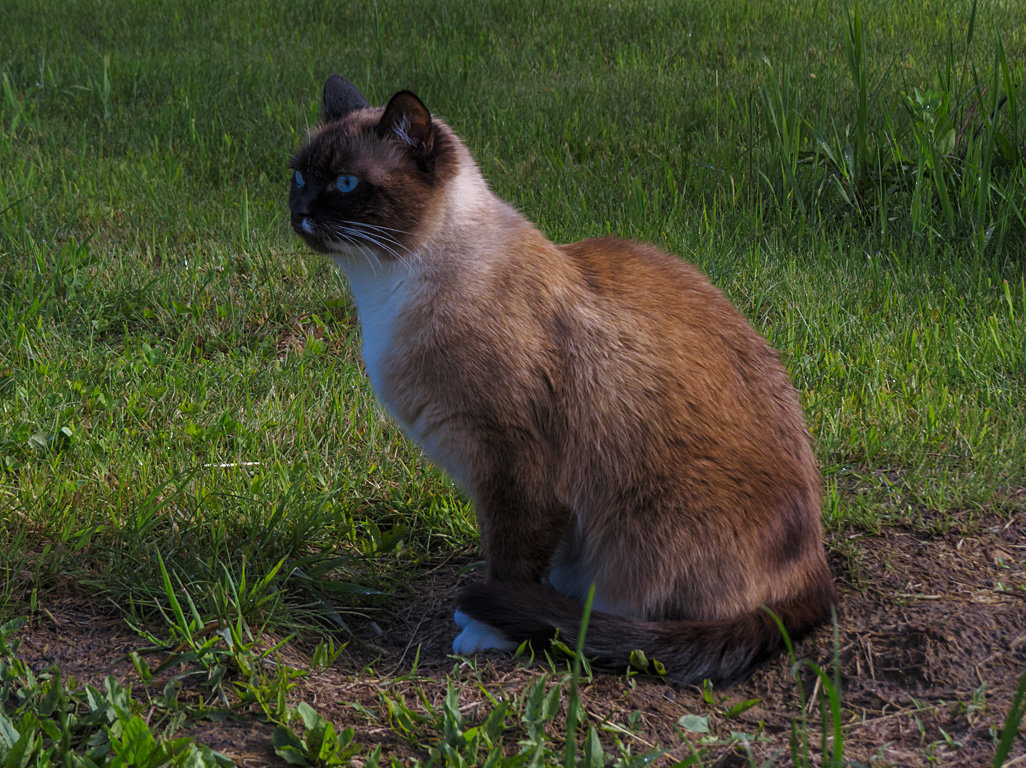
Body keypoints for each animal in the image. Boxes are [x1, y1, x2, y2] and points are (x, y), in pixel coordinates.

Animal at [289, 76, 833, 684]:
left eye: (345, 183)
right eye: (299, 175)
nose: (300, 211)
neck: (386, 292)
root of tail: (819, 575)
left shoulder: (513, 469)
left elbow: (509, 566)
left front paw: (488, 629)